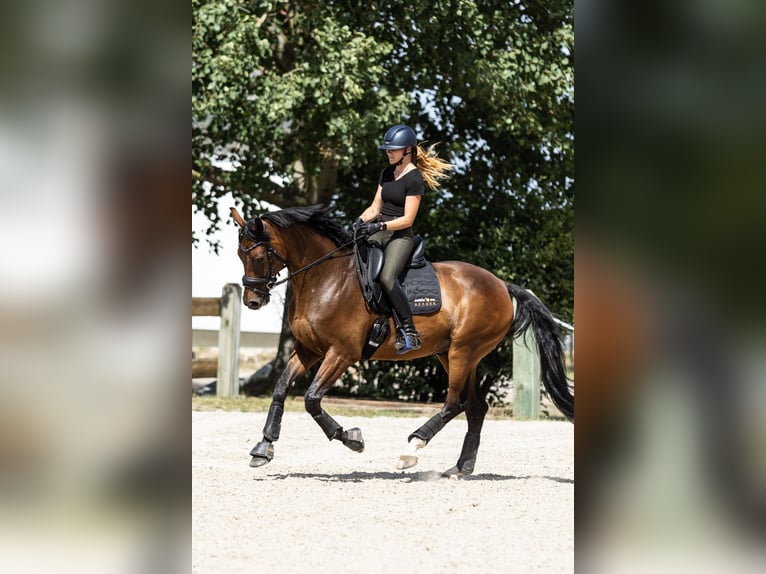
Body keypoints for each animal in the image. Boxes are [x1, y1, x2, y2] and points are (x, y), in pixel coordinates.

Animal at [230, 204, 573, 478]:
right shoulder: (308, 350)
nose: (253, 301)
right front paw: (263, 447)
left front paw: (352, 438)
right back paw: (461, 467)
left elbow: (312, 399)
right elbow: (281, 389)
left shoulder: (341, 353)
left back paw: (412, 449)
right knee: (476, 407)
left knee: (454, 403)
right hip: (453, 355)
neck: (325, 279)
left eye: (258, 256)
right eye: (239, 255)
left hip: (463, 351)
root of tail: (502, 284)